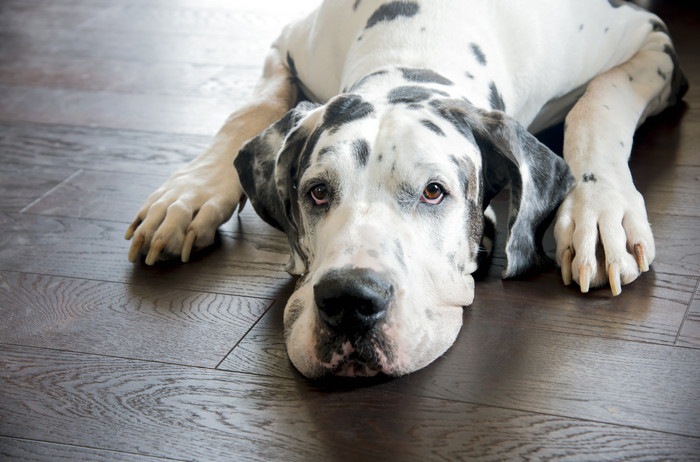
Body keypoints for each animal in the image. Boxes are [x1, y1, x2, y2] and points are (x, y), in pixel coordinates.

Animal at [123, 0, 688, 378]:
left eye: (434, 191)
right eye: (317, 192)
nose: (350, 300)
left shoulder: (650, 37)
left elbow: (598, 102)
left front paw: (601, 211)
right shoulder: (288, 42)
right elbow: (251, 106)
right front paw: (188, 194)